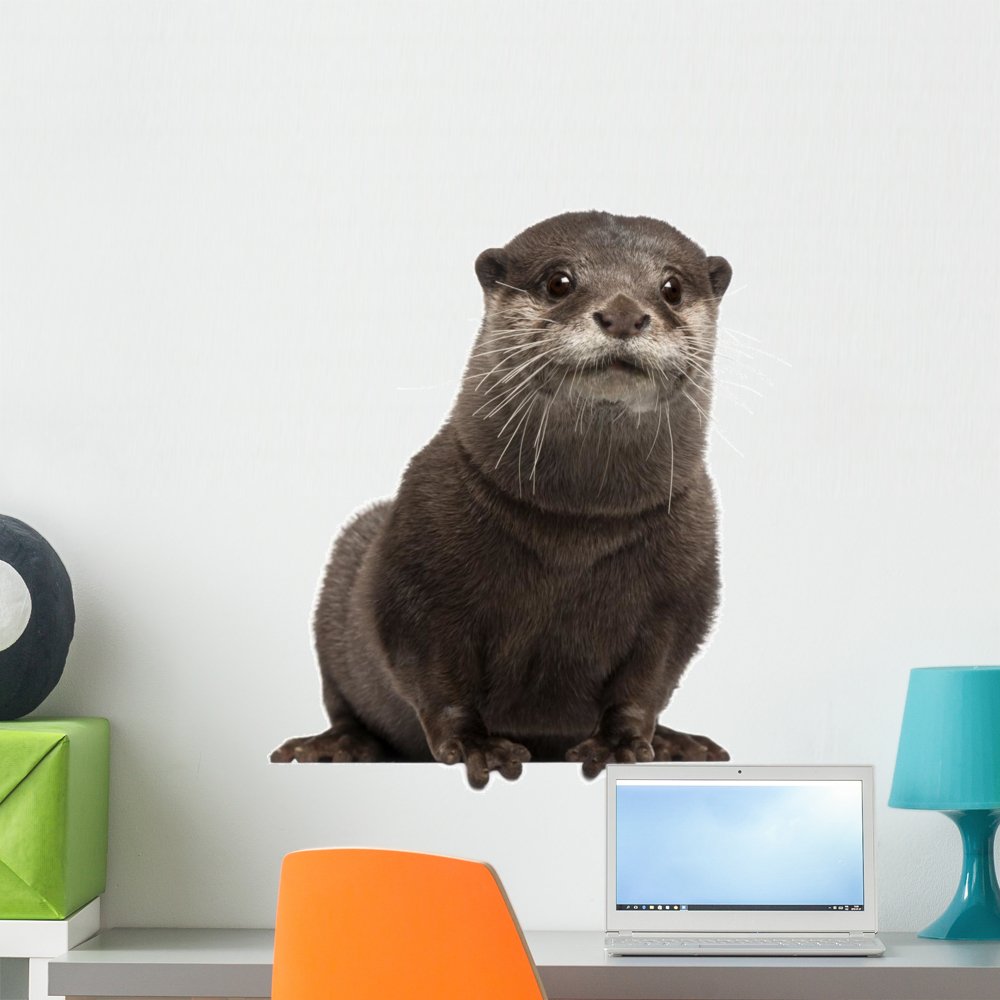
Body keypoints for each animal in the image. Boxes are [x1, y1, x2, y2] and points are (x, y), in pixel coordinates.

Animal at [271, 211, 732, 788]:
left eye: (671, 288)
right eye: (559, 281)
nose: (624, 313)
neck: (577, 526)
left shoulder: (684, 590)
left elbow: (648, 682)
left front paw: (622, 745)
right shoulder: (417, 566)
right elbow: (433, 675)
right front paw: (478, 746)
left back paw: (681, 743)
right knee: (345, 704)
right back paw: (336, 745)